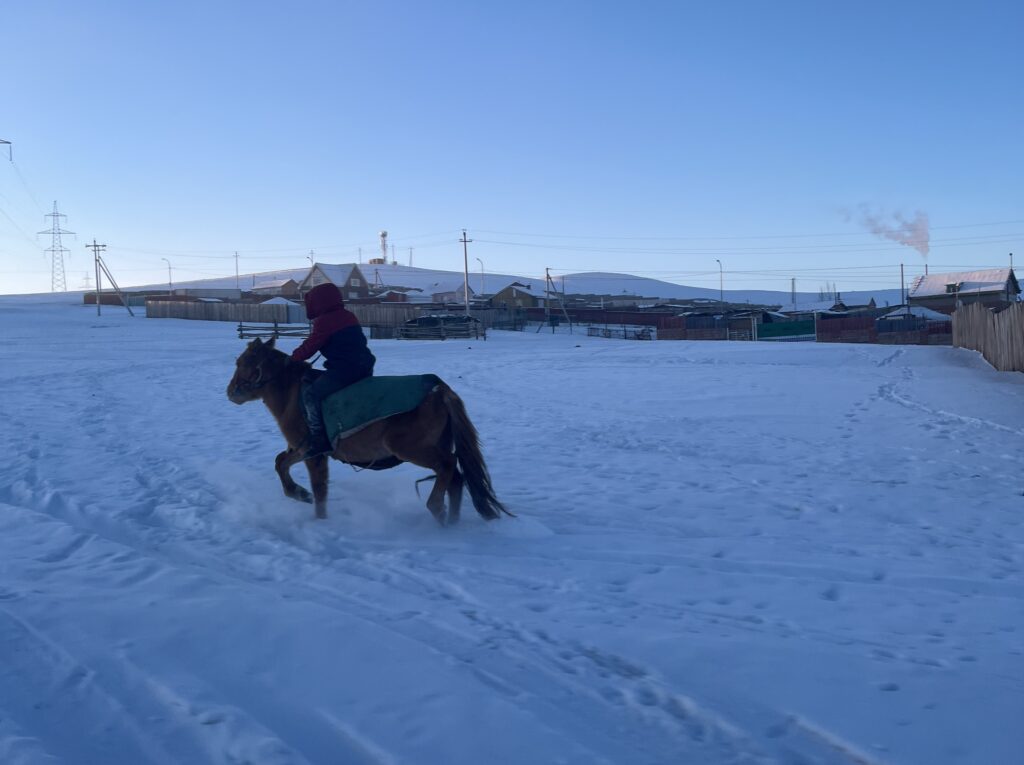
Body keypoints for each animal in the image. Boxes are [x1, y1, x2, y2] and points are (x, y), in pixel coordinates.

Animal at [226, 337, 509, 524]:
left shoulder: (313, 452)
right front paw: (298, 493)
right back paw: (450, 522)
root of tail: (439, 389)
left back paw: (436, 507)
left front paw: (318, 518)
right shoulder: (301, 449)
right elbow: (280, 462)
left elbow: (319, 489)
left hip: (412, 448)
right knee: (456, 479)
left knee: (448, 466)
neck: (293, 394)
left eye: (242, 362)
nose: (230, 392)